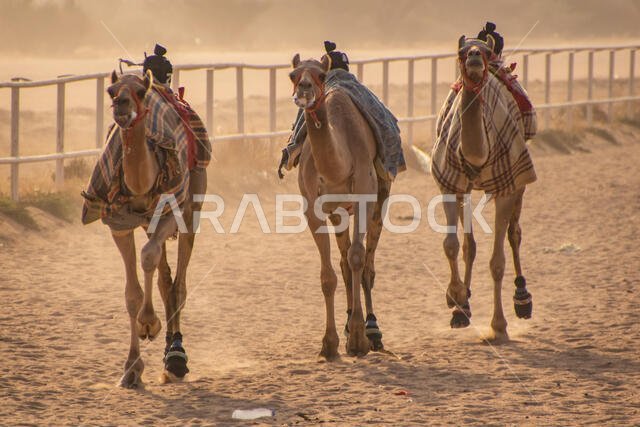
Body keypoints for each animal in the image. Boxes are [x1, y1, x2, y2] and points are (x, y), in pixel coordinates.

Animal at [107, 71, 206, 387]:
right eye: (111, 90)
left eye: (140, 92)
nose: (122, 106)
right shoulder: (118, 224)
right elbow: (132, 293)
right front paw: (131, 368)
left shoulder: (172, 212)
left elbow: (148, 256)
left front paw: (149, 322)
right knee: (165, 281)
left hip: (192, 208)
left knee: (179, 284)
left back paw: (176, 357)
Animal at [289, 54, 390, 359]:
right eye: (292, 75)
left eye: (321, 75)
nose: (304, 90)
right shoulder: (313, 208)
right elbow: (329, 275)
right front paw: (330, 343)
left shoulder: (365, 195)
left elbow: (358, 258)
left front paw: (358, 339)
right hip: (338, 212)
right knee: (345, 264)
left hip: (381, 196)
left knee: (367, 264)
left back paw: (373, 331)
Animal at [435, 37, 534, 341]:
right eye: (461, 52)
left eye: (485, 53)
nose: (476, 57)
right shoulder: (450, 183)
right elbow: (452, 245)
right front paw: (456, 298)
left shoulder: (507, 186)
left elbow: (497, 262)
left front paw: (498, 326)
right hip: (466, 190)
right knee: (470, 245)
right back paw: (463, 309)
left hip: (519, 181)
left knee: (515, 233)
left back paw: (522, 299)